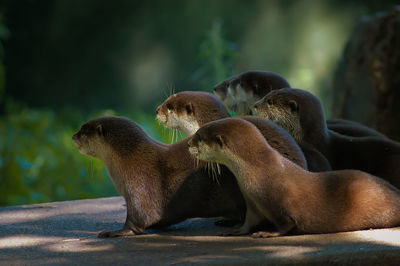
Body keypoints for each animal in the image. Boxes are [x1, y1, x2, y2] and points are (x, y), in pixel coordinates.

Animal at [73, 116, 245, 237]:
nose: (74, 136)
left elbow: (138, 218)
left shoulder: (138, 185)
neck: (129, 160)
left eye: (83, 131)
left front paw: (114, 232)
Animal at [188, 118, 400, 237]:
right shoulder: (253, 203)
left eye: (199, 137)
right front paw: (235, 230)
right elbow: (249, 221)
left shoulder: (282, 203)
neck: (260, 172)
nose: (189, 143)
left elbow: (287, 222)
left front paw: (267, 233)